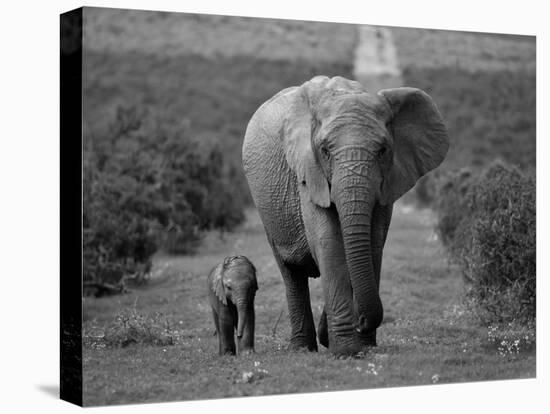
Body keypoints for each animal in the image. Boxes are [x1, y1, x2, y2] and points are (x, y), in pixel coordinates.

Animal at [244, 75, 450, 356]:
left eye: (383, 150)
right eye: (325, 151)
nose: (361, 321)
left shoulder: (387, 181)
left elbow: (373, 243)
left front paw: (363, 346)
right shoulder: (309, 174)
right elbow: (329, 242)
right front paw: (346, 351)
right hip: (267, 209)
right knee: (291, 272)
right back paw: (302, 349)